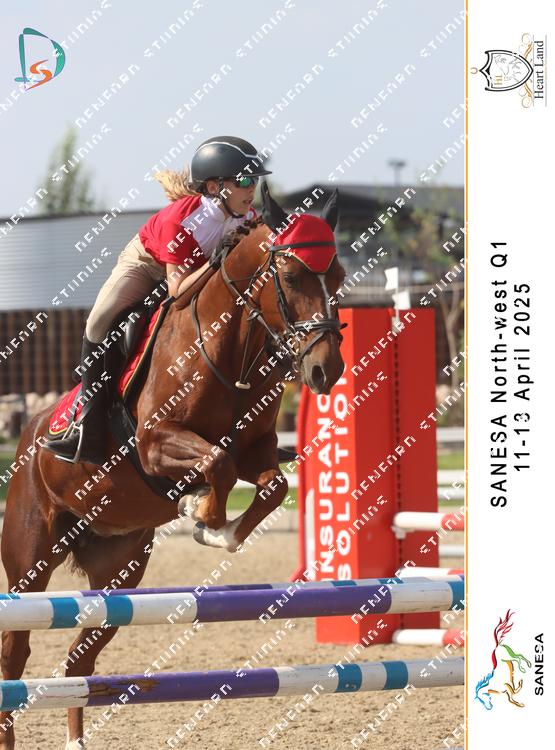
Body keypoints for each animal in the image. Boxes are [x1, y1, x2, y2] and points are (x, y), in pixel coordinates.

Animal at [0, 187, 346, 749]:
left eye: (337, 276)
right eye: (293, 276)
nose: (326, 370)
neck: (230, 349)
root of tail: (30, 433)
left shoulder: (258, 451)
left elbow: (272, 485)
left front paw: (217, 528)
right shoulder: (154, 446)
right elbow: (217, 465)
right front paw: (200, 513)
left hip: (120, 574)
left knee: (80, 659)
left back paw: (76, 738)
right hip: (30, 560)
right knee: (15, 651)